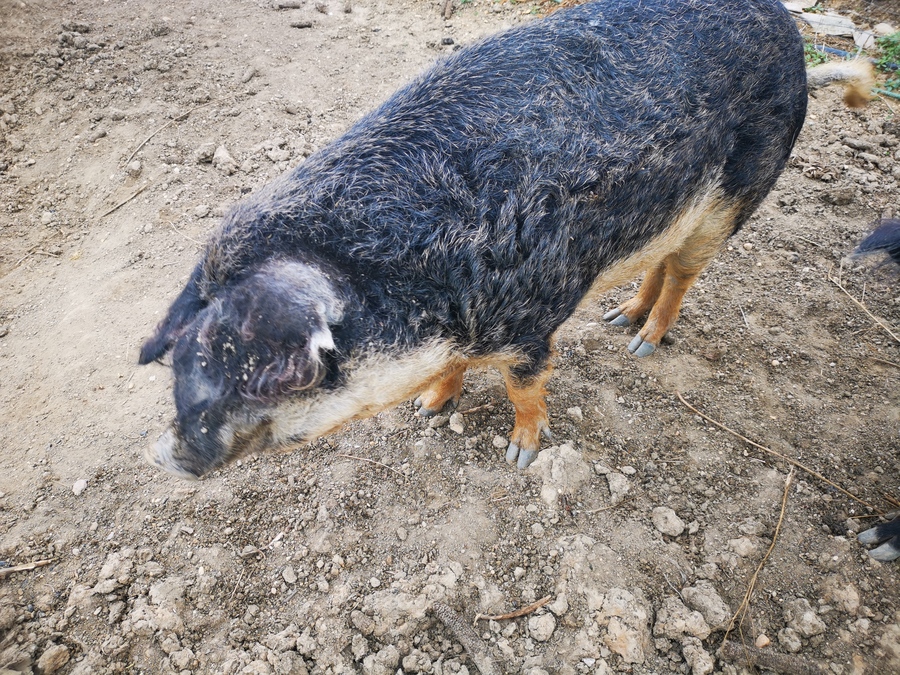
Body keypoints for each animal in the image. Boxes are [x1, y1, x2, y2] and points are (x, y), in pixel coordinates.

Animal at [140, 0, 868, 478]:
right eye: (182, 366)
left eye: (266, 376)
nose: (170, 456)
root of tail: (789, 31)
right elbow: (452, 376)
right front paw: (428, 411)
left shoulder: (533, 318)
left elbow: (526, 385)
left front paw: (521, 455)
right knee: (660, 262)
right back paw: (618, 318)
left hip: (735, 197)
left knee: (686, 274)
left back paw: (641, 343)